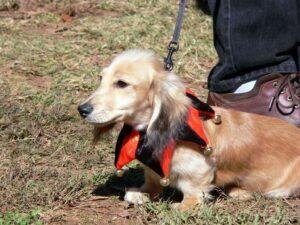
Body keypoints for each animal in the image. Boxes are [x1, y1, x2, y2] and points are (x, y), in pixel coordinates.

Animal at [78, 49, 300, 211]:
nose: (82, 109)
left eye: (122, 83)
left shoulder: (200, 169)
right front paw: (142, 193)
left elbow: (193, 189)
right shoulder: (152, 169)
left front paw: (183, 205)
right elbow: (151, 183)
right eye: (101, 79)